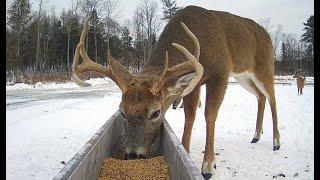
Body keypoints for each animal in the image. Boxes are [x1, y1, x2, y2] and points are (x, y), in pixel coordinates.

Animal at [72, 5, 280, 179]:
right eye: (122, 111)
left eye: (155, 112)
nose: (132, 155)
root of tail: (267, 35)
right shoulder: (194, 83)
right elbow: (189, 116)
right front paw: (185, 151)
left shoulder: (220, 72)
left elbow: (209, 115)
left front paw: (208, 166)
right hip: (243, 76)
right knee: (260, 96)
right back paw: (256, 135)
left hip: (264, 67)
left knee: (272, 97)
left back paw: (276, 142)